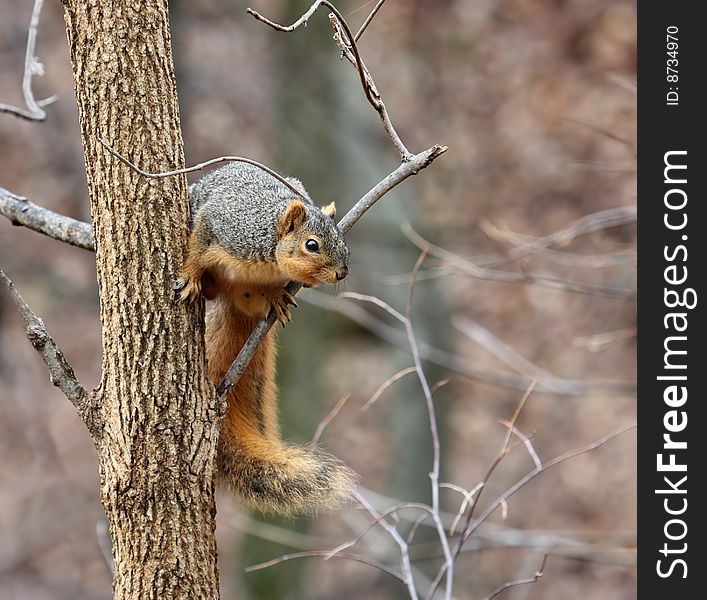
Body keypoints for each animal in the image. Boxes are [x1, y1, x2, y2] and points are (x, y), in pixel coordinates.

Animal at [174, 164, 356, 516]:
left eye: (343, 241)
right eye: (311, 245)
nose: (341, 273)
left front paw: (276, 295)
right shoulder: (223, 225)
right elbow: (198, 247)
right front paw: (189, 275)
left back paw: (272, 299)